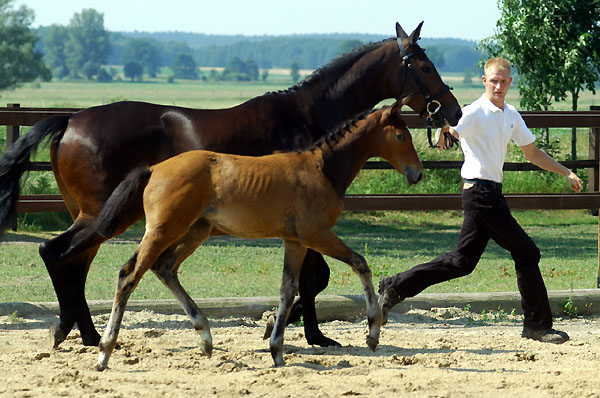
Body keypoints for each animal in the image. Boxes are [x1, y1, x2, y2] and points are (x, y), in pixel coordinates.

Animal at [94, 100, 422, 370]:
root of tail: (154, 168)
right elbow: (360, 263)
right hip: (164, 230)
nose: (417, 173)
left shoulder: (295, 241)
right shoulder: (315, 234)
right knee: (130, 274)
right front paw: (373, 332)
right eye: (401, 136)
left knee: (164, 268)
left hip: (195, 230)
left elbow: (288, 289)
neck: (323, 169)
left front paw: (277, 351)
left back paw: (205, 338)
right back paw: (104, 351)